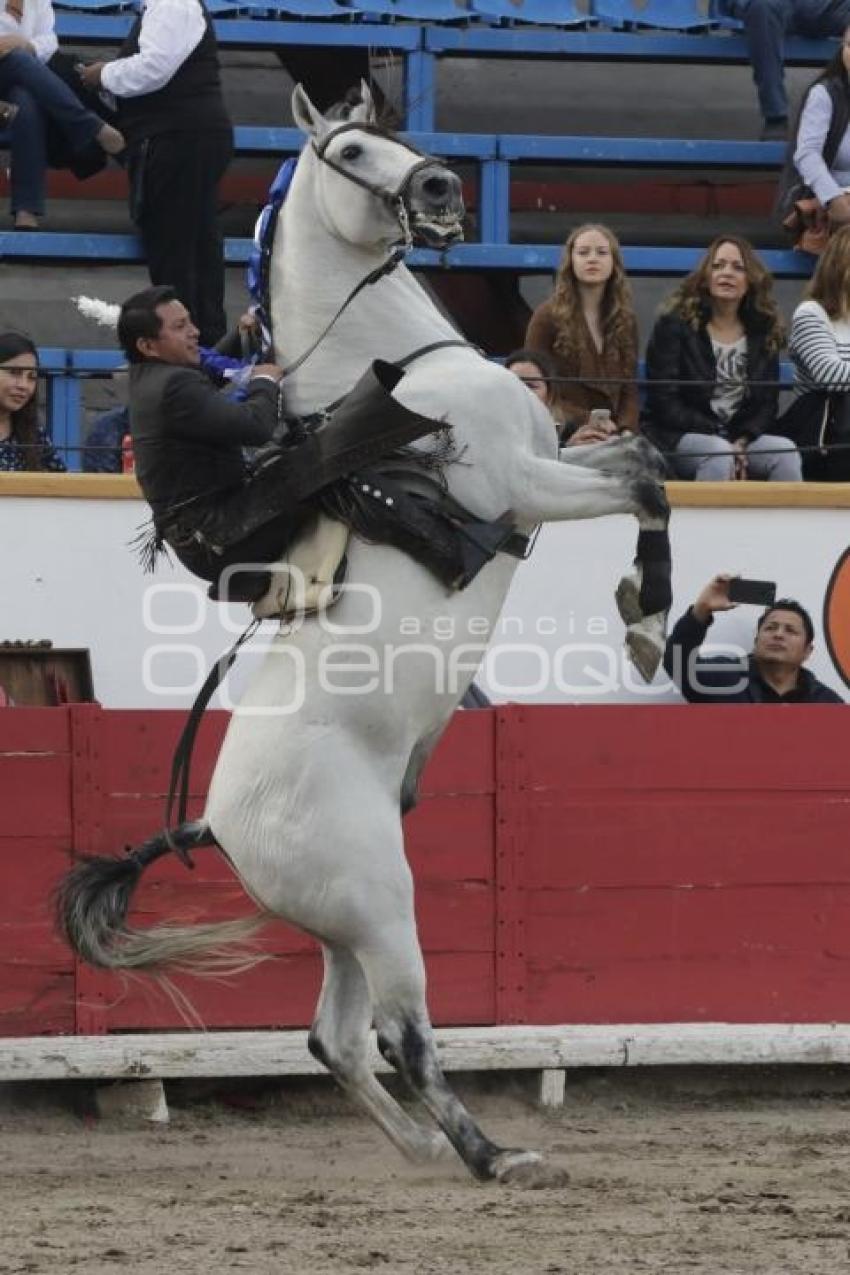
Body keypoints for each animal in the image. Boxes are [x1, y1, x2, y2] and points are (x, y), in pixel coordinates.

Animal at [58, 87, 672, 1183]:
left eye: (392, 131)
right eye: (348, 150)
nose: (438, 190)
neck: (402, 370)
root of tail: (214, 824)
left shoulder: (552, 466)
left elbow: (645, 461)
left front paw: (648, 609)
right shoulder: (527, 486)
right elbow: (644, 477)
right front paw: (646, 613)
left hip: (342, 922)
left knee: (334, 1036)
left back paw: (423, 1148)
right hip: (385, 904)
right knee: (402, 1032)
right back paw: (492, 1156)